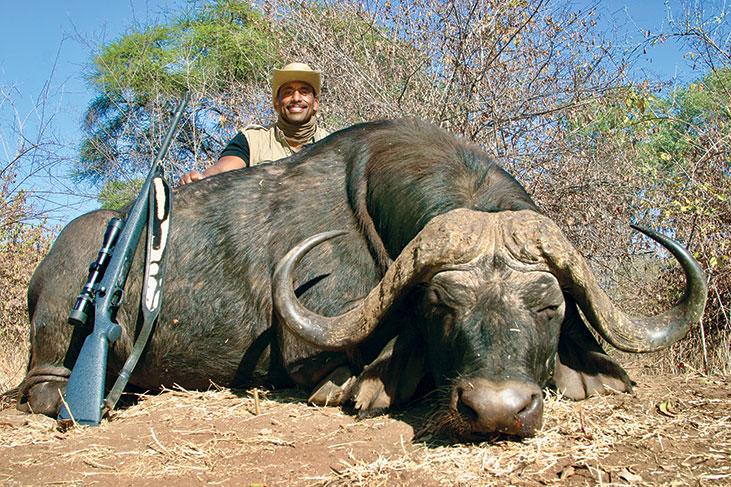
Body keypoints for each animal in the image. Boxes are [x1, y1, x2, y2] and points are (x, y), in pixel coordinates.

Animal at [14, 119, 708, 442]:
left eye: (549, 307)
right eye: (439, 306)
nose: (497, 409)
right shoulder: (308, 358)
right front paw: (372, 384)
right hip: (58, 346)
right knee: (45, 389)